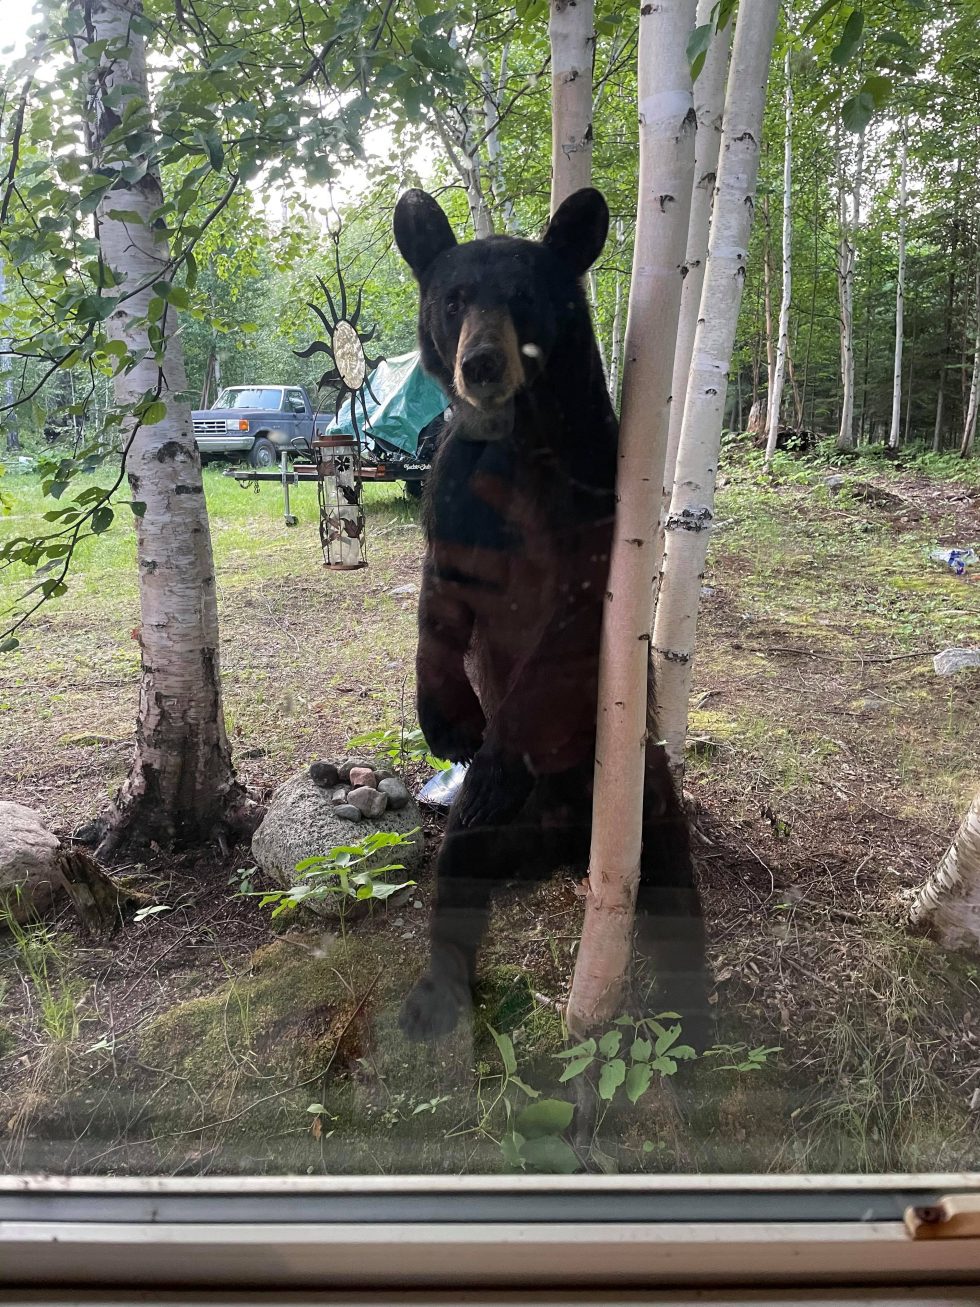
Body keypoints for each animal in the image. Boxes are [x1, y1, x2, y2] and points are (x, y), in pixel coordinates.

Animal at [393, 186, 709, 1044]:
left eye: (524, 296)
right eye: (455, 296)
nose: (481, 362)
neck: (519, 445)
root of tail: (564, 843)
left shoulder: (591, 500)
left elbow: (567, 633)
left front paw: (496, 750)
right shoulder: (458, 488)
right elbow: (441, 597)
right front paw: (449, 720)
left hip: (645, 797)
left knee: (674, 891)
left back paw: (698, 1011)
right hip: (496, 844)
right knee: (460, 868)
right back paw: (437, 991)